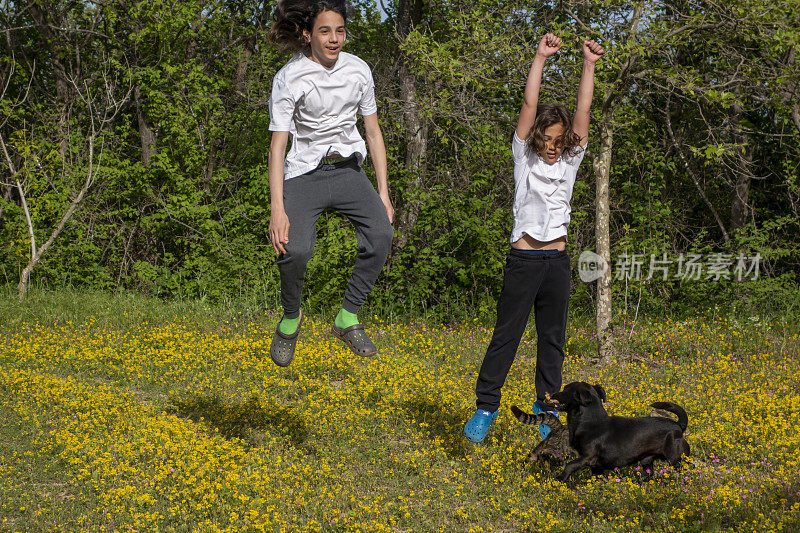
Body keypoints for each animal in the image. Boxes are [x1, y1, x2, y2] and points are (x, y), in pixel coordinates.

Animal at [548, 380, 692, 480]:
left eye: (565, 389)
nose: (552, 394)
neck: (589, 421)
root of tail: (678, 425)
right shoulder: (596, 467)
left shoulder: (588, 457)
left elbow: (569, 465)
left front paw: (560, 478)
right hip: (647, 461)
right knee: (648, 475)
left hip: (676, 459)